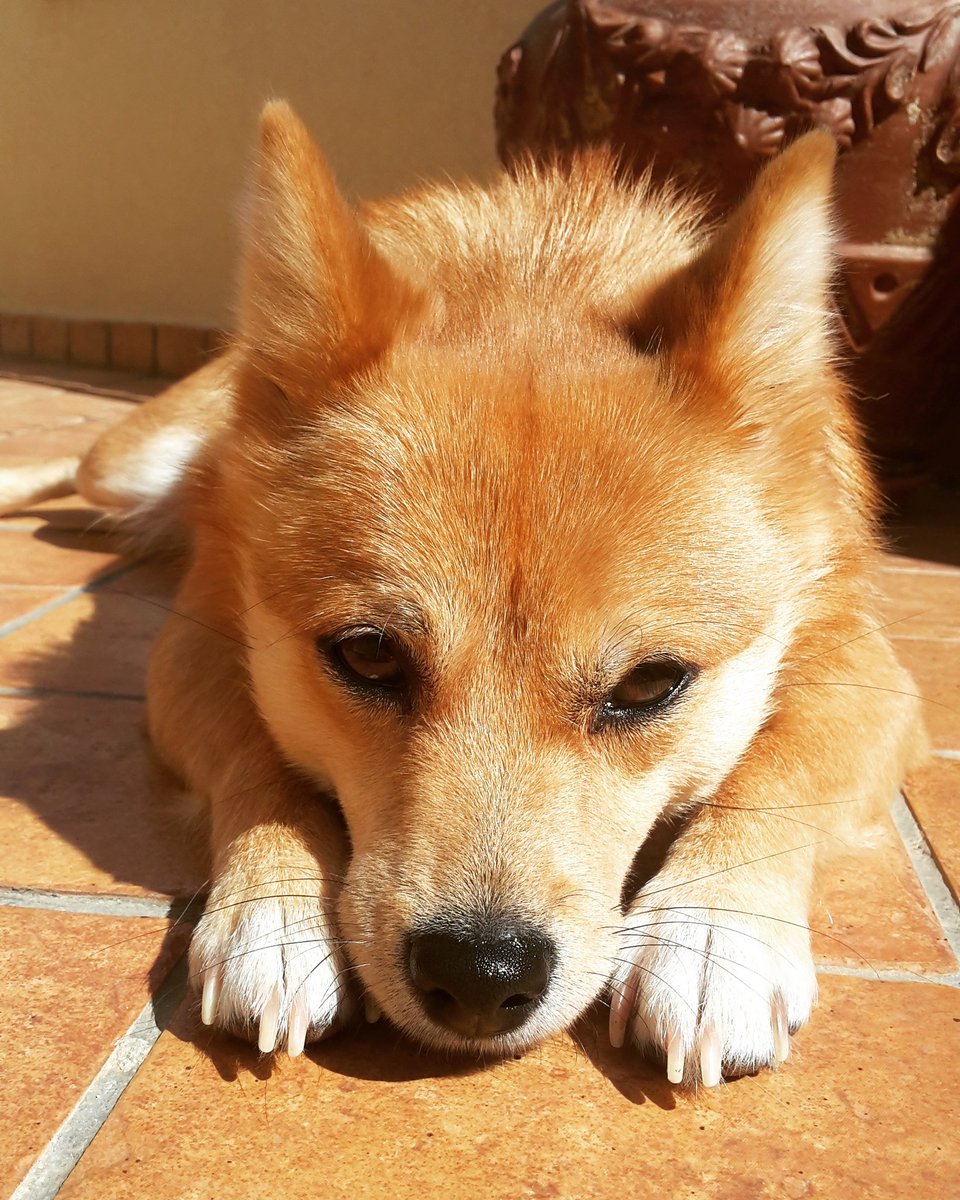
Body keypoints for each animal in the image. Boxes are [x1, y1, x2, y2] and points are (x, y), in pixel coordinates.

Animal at [1, 102, 926, 1087]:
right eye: (368, 656)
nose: (481, 977)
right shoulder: (197, 642)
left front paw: (715, 932)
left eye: (650, 684)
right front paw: (276, 908)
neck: (537, 276)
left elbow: (782, 759)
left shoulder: (870, 670)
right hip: (127, 462)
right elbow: (257, 754)